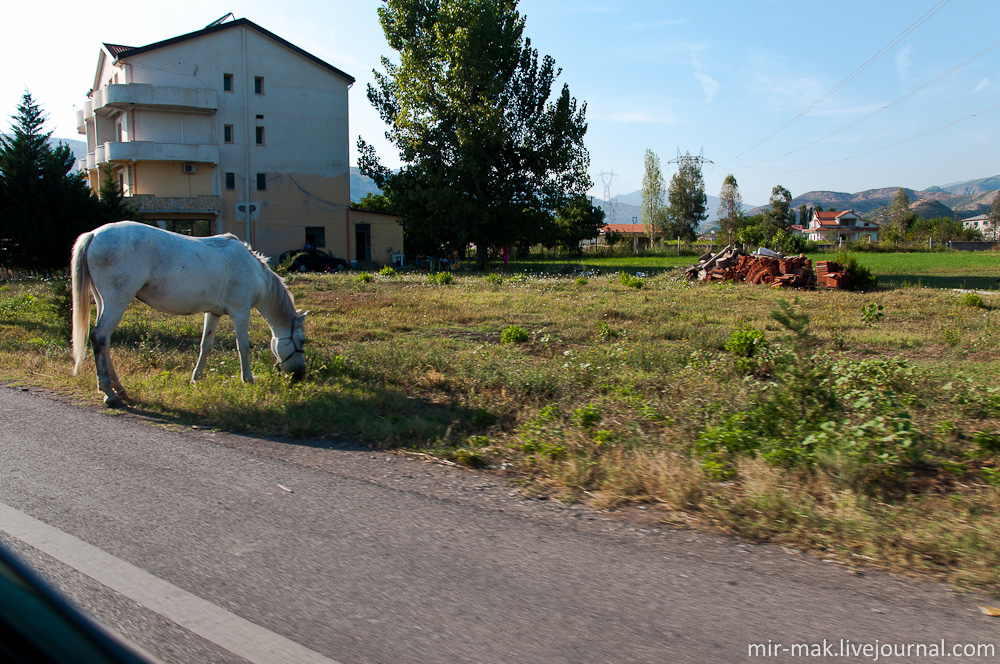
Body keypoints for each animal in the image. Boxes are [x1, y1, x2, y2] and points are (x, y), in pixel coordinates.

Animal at [72, 222, 304, 404]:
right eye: (301, 340)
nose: (300, 375)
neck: (253, 270)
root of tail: (94, 234)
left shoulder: (213, 313)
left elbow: (205, 346)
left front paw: (196, 378)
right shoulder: (240, 311)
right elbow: (243, 347)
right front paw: (247, 379)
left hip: (103, 301)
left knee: (104, 342)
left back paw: (118, 388)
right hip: (116, 300)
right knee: (100, 337)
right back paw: (109, 393)